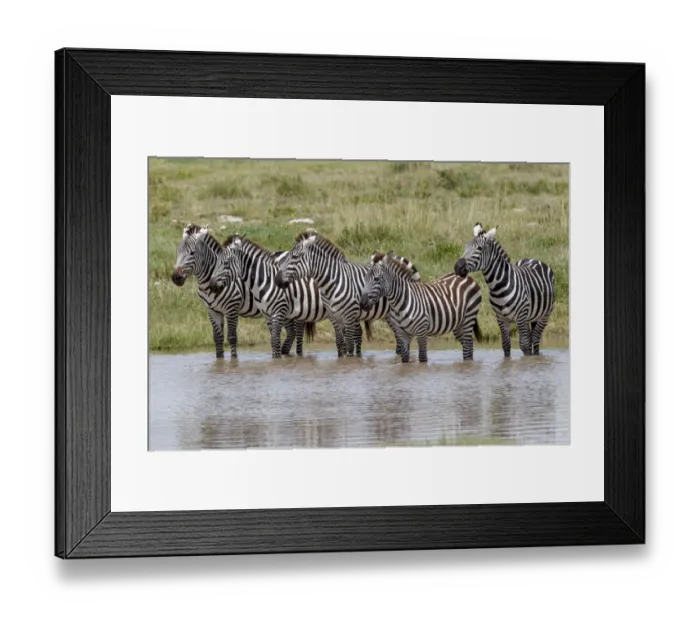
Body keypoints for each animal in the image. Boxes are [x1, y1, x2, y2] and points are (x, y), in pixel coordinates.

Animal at [171, 224, 302, 359]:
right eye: (177, 252)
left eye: (192, 253)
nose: (176, 277)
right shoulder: (212, 310)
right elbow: (217, 338)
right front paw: (219, 360)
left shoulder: (231, 308)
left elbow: (232, 337)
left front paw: (233, 361)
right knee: (291, 333)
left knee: (297, 334)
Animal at [273, 229, 420, 358]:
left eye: (295, 256)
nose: (277, 280)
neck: (331, 284)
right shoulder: (334, 316)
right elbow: (339, 343)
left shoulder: (349, 316)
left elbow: (349, 343)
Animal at [453, 222, 555, 357]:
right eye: (466, 247)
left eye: (479, 248)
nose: (457, 267)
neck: (498, 287)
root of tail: (533, 259)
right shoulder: (501, 318)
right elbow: (506, 345)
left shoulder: (521, 316)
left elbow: (524, 344)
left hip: (544, 315)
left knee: (535, 338)